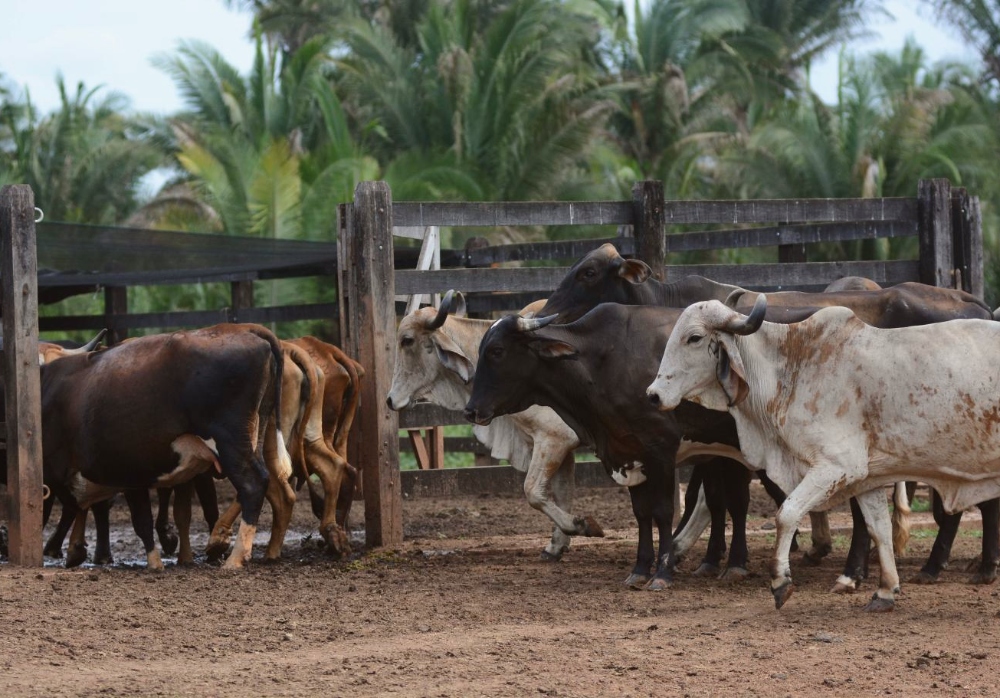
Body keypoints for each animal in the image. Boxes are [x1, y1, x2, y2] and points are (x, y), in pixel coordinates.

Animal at [38, 324, 288, 568]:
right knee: (262, 482)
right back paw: (219, 539)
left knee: (252, 484)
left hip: (229, 441)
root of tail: (249, 331)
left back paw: (235, 557)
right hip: (254, 433)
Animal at [386, 290, 596, 556]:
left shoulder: (554, 439)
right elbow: (561, 493)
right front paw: (557, 545)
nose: (390, 400)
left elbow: (532, 491)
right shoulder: (560, 447)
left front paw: (580, 525)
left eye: (407, 340)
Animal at [648, 294, 1000, 608]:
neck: (790, 369)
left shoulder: (835, 466)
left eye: (694, 338)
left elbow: (786, 514)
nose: (653, 394)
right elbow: (879, 529)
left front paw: (781, 581)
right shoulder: (868, 477)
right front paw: (885, 591)